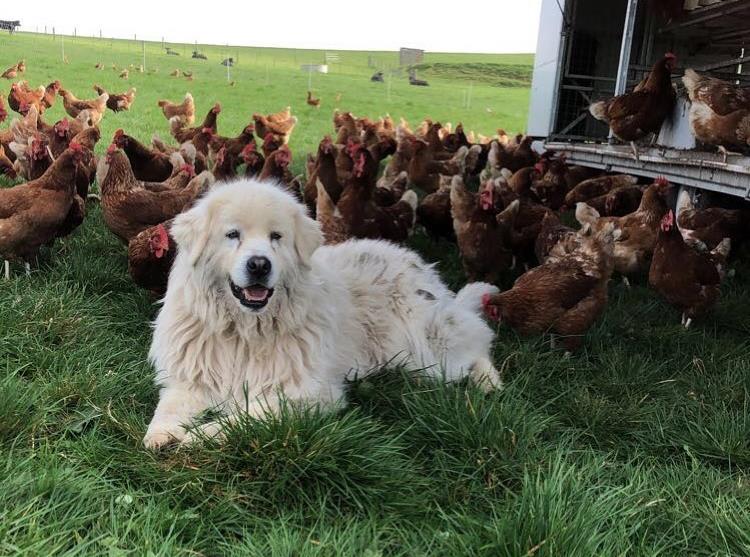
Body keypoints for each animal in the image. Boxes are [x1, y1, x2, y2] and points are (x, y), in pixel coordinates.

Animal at [145, 180, 502, 450]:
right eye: (232, 235)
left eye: (276, 237)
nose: (259, 265)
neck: (244, 330)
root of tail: (418, 264)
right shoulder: (190, 378)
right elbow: (167, 407)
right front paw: (162, 434)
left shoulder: (306, 392)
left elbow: (247, 415)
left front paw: (200, 435)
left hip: (427, 345)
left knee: (477, 340)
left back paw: (489, 382)